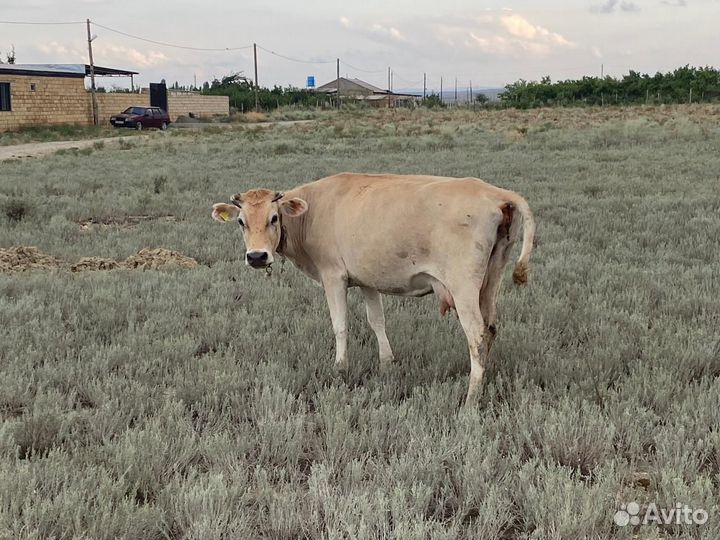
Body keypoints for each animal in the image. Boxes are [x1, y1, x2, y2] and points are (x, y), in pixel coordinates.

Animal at [212, 173, 535, 405]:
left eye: (274, 217)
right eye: (241, 222)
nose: (257, 256)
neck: (312, 211)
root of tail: (496, 193)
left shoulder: (333, 277)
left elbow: (340, 325)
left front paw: (340, 369)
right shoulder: (368, 280)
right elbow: (376, 321)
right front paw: (387, 363)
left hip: (464, 286)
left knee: (477, 336)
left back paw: (471, 399)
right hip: (491, 279)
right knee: (490, 329)